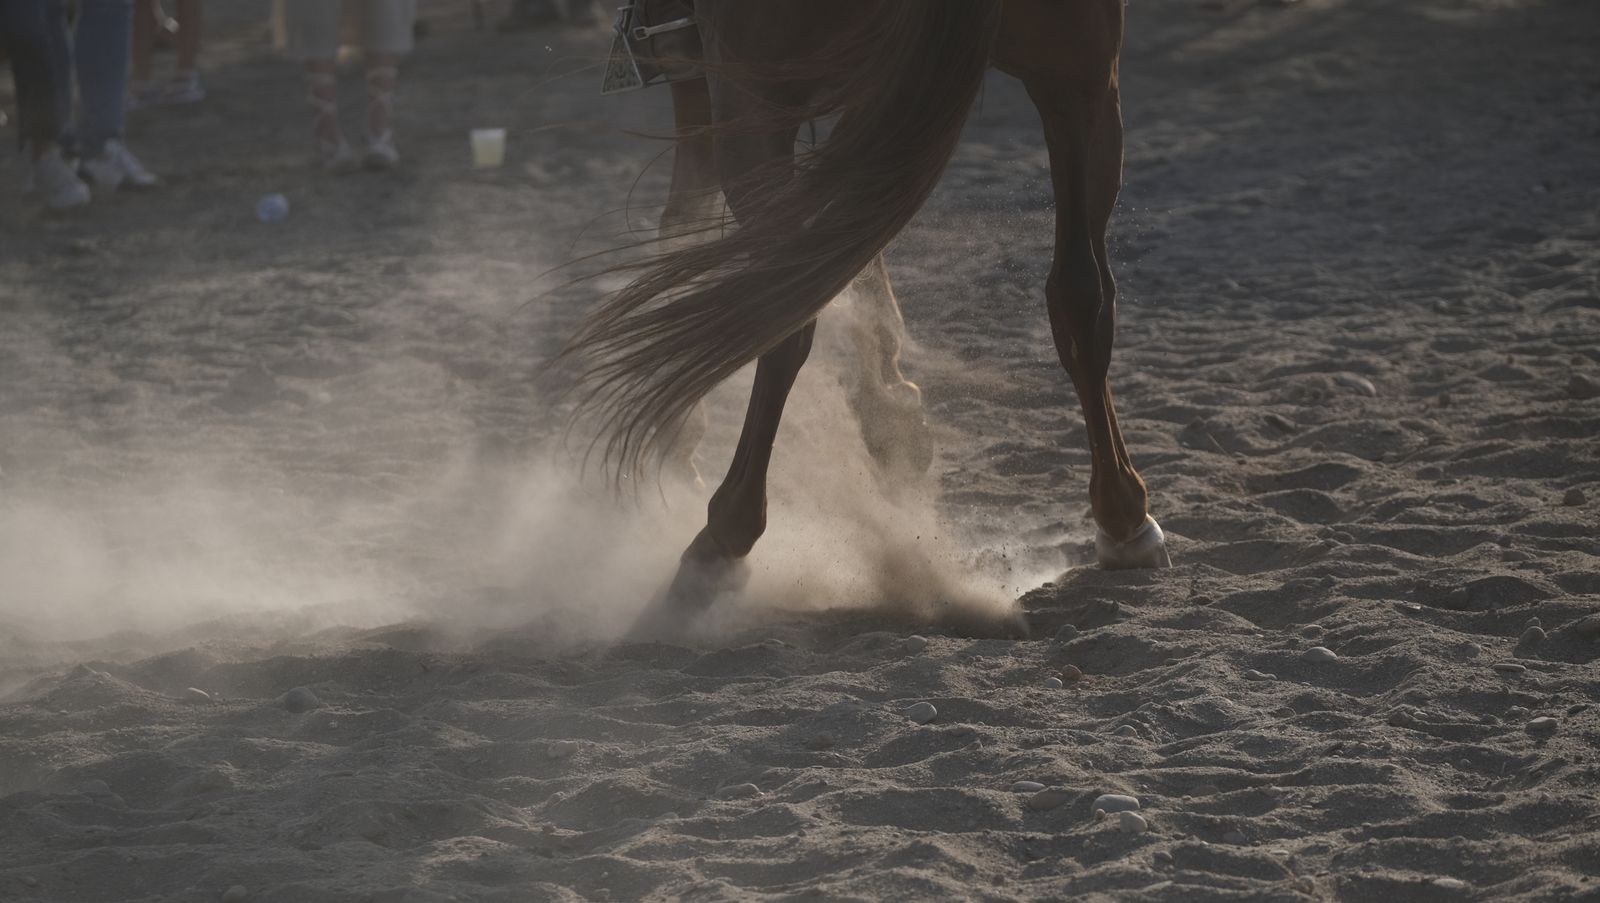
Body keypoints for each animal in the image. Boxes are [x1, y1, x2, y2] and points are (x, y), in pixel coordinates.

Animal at [568, 0, 1172, 635]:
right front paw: (894, 418)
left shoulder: (705, 82)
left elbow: (687, 223)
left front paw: (682, 443)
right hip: (1081, 77)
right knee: (1081, 296)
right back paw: (1125, 518)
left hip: (757, 100)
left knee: (784, 303)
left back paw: (720, 540)